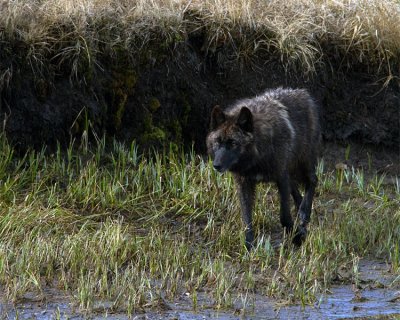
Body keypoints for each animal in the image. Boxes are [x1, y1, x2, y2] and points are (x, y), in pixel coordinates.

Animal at [206, 87, 322, 250]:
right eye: (217, 142)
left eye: (233, 143)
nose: (216, 165)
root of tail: (303, 93)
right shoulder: (244, 184)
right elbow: (246, 218)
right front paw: (249, 245)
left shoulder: (281, 178)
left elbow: (284, 216)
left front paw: (297, 237)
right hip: (290, 170)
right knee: (297, 190)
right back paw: (302, 214)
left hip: (303, 163)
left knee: (313, 180)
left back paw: (305, 213)